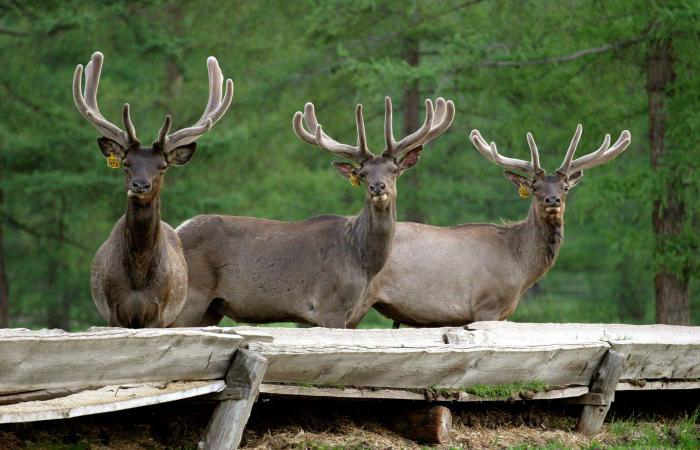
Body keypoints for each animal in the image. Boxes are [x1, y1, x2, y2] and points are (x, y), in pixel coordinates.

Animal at [75, 51, 232, 326]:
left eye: (162, 166)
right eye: (126, 163)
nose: (140, 184)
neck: (138, 278)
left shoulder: (159, 313)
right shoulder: (113, 311)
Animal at [173, 96, 456, 326]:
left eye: (394, 170)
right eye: (363, 174)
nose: (378, 186)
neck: (361, 259)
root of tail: (178, 229)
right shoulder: (329, 306)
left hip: (211, 308)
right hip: (190, 297)